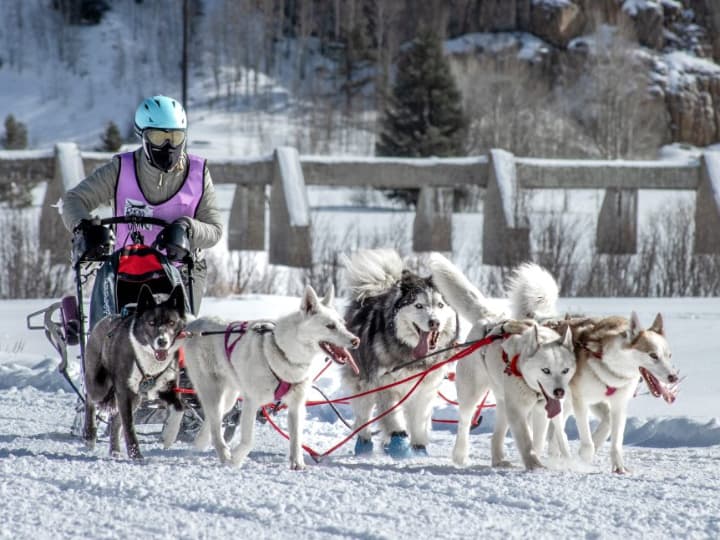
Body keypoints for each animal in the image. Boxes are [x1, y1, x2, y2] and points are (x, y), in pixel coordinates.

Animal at [160, 286, 358, 468]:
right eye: (330, 326)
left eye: (342, 323)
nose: (356, 340)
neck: (284, 352)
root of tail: (194, 323)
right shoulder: (251, 402)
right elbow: (248, 440)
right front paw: (236, 459)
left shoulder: (296, 406)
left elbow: (296, 439)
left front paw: (297, 463)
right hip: (211, 389)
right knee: (199, 414)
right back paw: (219, 452)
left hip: (228, 396)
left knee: (212, 417)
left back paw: (200, 441)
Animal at [338, 251, 456, 458]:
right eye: (419, 305)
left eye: (440, 305)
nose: (434, 322)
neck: (411, 355)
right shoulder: (386, 386)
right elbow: (393, 419)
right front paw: (399, 445)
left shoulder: (424, 389)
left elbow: (418, 421)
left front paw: (419, 449)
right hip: (362, 382)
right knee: (363, 414)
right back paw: (364, 444)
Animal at [428, 254, 572, 468]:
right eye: (545, 370)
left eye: (565, 370)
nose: (559, 391)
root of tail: (489, 319)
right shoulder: (517, 411)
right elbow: (526, 440)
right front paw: (534, 465)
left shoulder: (542, 411)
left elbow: (542, 438)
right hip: (473, 393)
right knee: (464, 423)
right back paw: (460, 455)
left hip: (504, 403)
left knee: (497, 435)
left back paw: (498, 459)